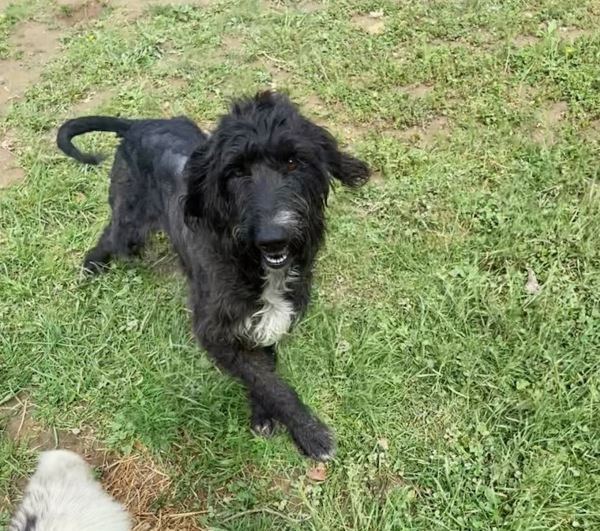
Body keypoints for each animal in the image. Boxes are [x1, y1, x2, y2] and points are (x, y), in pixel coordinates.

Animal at [56, 90, 368, 462]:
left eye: (294, 162)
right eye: (236, 171)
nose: (273, 238)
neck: (250, 263)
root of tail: (139, 124)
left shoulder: (272, 318)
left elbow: (264, 365)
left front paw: (263, 412)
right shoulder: (213, 331)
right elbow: (266, 380)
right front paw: (309, 431)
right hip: (130, 224)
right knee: (111, 233)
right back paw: (93, 264)